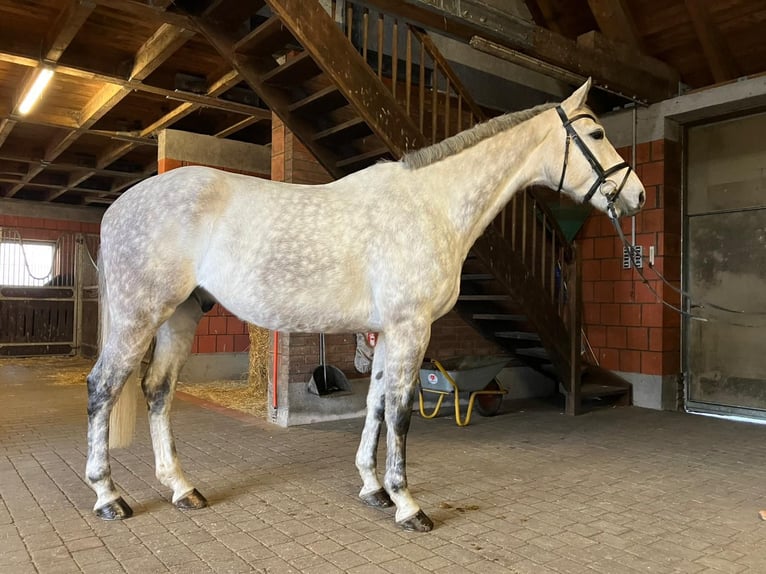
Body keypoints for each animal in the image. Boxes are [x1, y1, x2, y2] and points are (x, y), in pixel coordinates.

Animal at [87, 79, 644, 532]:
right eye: (597, 134)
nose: (636, 195)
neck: (432, 204)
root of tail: (118, 208)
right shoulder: (411, 327)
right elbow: (400, 412)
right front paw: (407, 504)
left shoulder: (386, 333)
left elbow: (375, 404)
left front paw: (373, 489)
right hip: (139, 317)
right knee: (103, 388)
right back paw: (109, 497)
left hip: (180, 316)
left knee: (158, 391)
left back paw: (182, 489)